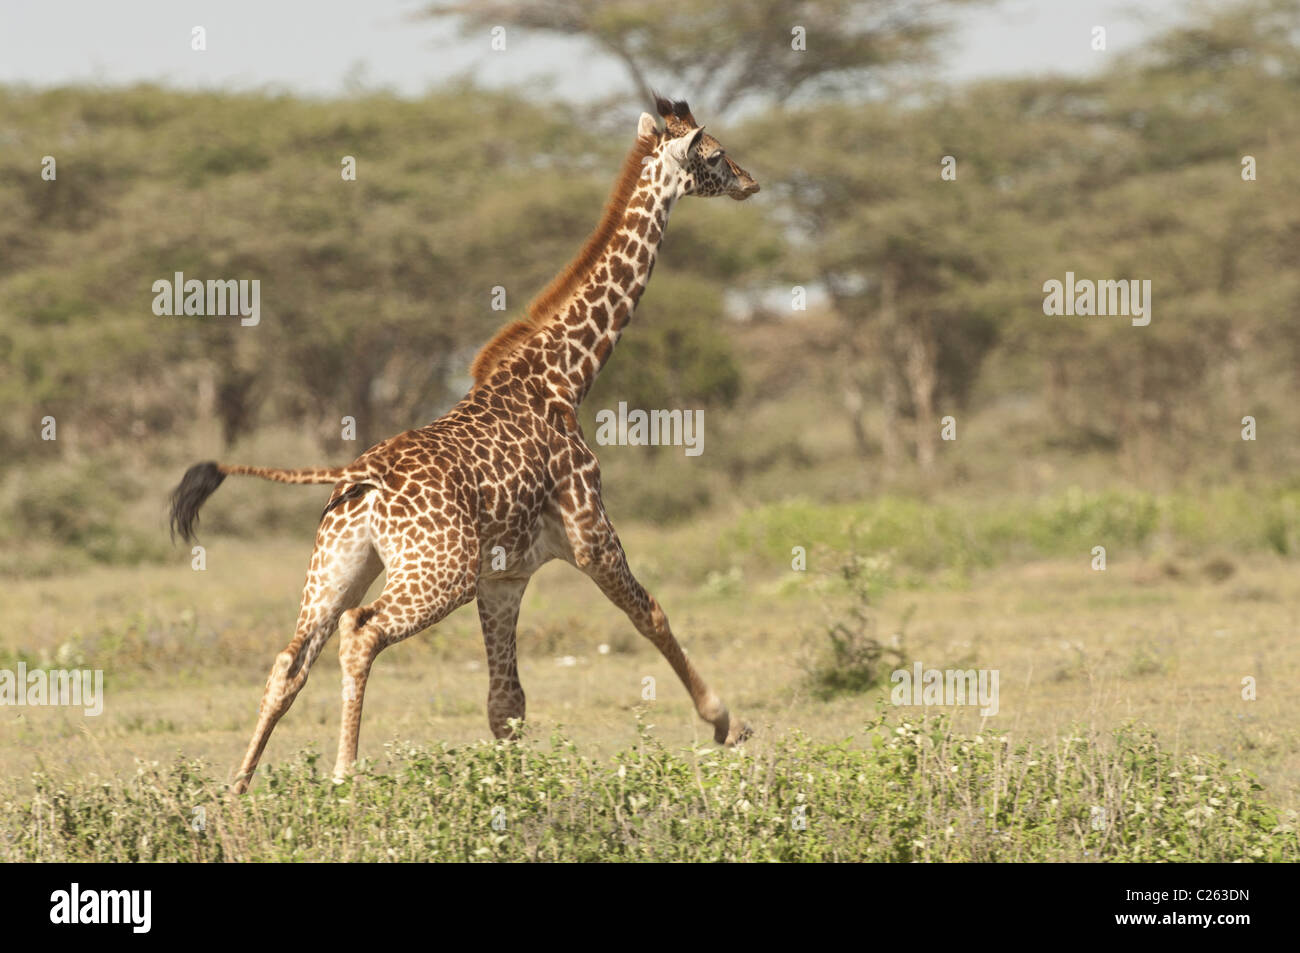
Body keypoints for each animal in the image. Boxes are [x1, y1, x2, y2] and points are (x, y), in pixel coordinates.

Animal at [169, 97, 760, 794]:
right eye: (715, 154)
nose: (751, 182)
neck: (565, 377)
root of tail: (363, 480)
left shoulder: (504, 577)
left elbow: (506, 704)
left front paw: (509, 796)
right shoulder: (590, 535)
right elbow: (654, 615)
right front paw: (726, 723)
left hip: (337, 565)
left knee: (293, 656)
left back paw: (237, 788)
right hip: (437, 572)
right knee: (360, 632)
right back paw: (343, 778)